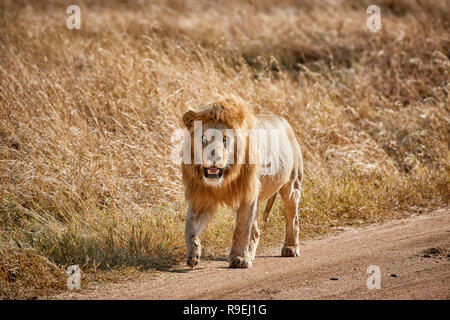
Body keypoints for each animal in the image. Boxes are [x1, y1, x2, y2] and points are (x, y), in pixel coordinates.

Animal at [181, 96, 304, 268]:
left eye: (225, 139)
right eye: (203, 139)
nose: (214, 157)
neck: (226, 177)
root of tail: (285, 121)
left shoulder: (248, 194)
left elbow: (241, 228)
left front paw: (239, 258)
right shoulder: (202, 196)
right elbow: (190, 226)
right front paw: (193, 252)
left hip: (292, 186)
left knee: (293, 218)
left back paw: (290, 248)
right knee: (256, 231)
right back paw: (251, 254)